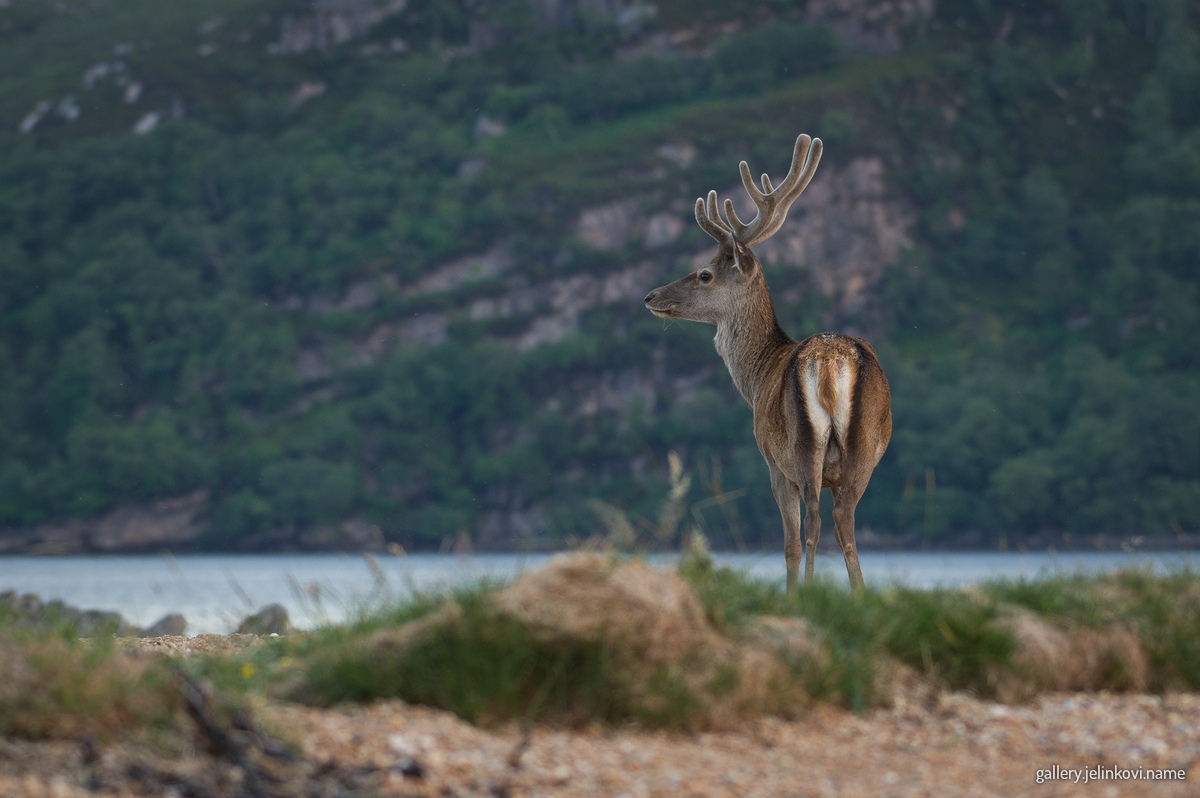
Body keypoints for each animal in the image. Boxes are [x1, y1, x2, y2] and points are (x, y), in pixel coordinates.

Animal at [643, 133, 891, 591]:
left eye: (704, 274)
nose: (651, 295)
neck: (757, 378)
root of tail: (829, 362)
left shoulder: (773, 462)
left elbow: (789, 542)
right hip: (863, 446)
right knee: (843, 520)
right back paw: (860, 594)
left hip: (800, 444)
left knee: (812, 525)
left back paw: (808, 590)